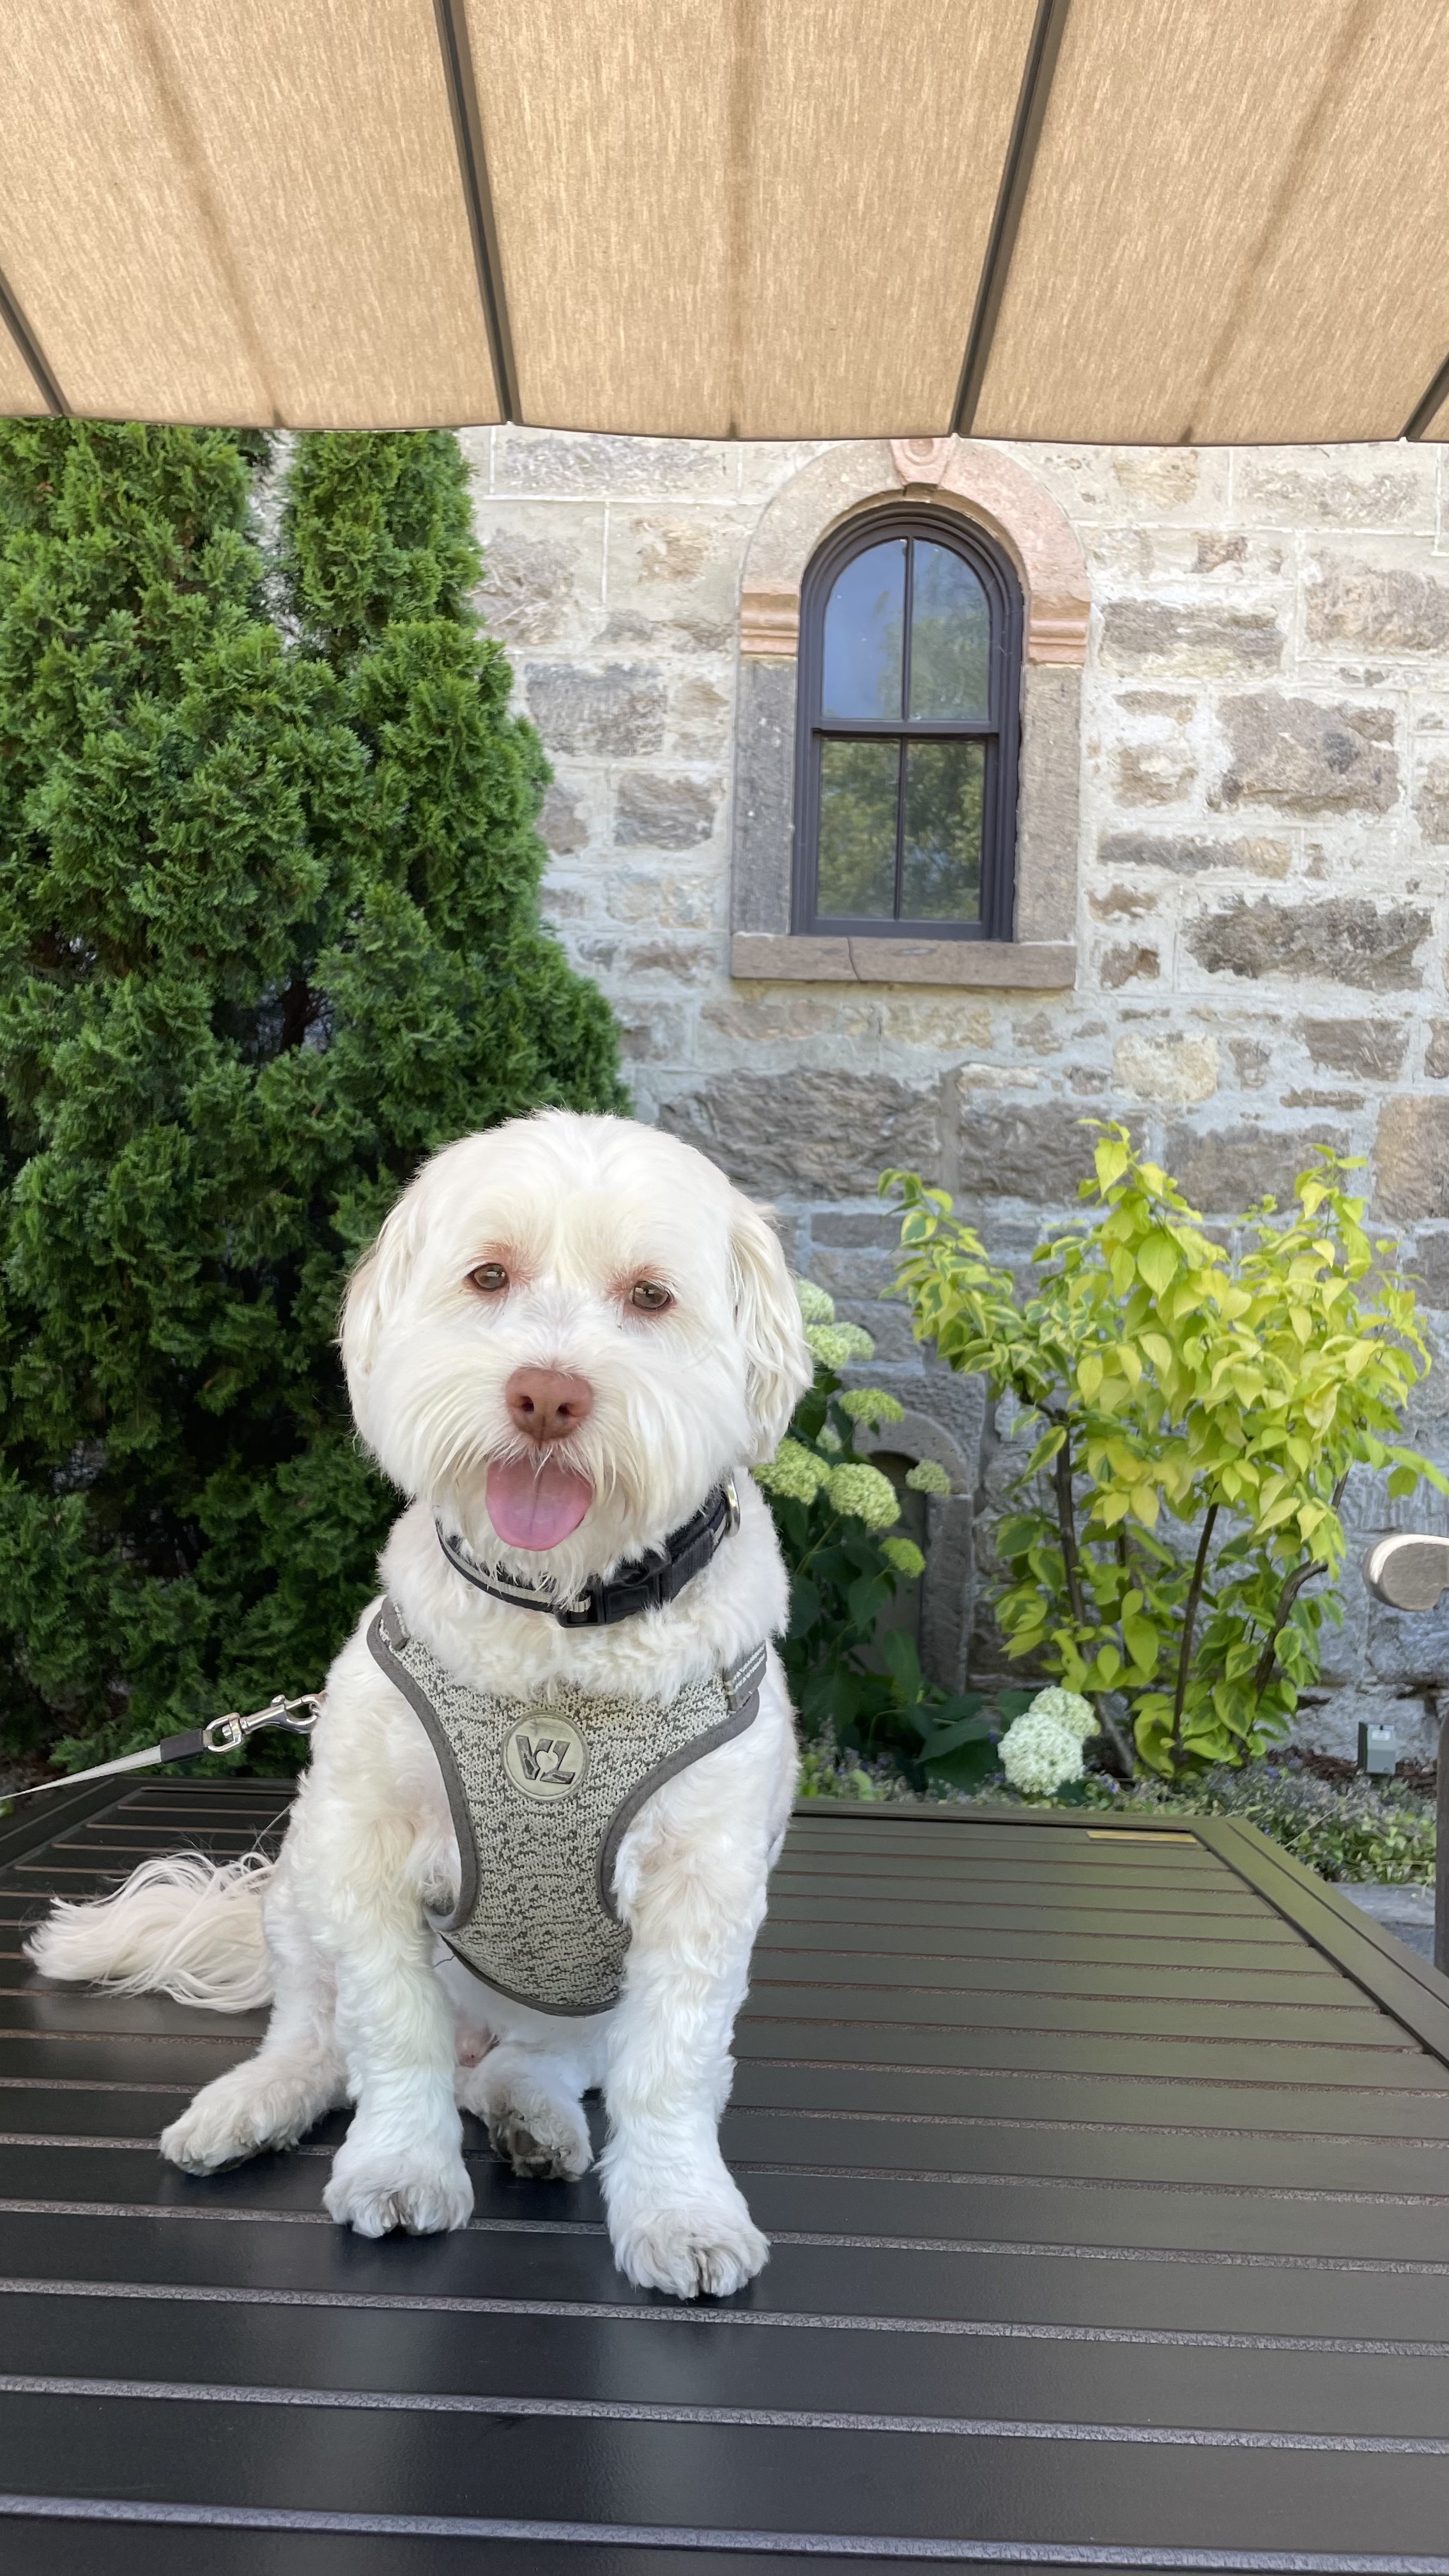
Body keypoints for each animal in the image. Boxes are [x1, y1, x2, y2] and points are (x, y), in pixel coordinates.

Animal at [28, 1107, 815, 2297]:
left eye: (649, 1296)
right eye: (489, 1275)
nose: (546, 1394)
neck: (560, 1632)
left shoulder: (704, 1887)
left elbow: (673, 2071)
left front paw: (681, 2213)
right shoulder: (363, 1849)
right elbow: (390, 2032)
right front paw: (399, 2169)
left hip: (570, 2011)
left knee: (527, 2069)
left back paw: (537, 2124)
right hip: (298, 1884)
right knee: (320, 2038)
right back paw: (251, 2107)